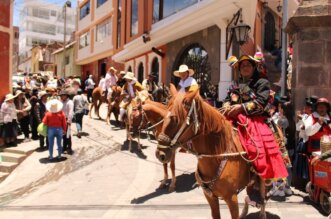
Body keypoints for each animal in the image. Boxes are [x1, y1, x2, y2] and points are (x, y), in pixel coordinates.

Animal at [154, 89, 268, 219]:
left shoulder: (231, 198)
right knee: (249, 194)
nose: (160, 154)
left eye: (176, 119)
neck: (216, 157)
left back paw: (262, 213)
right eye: (163, 117)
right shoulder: (209, 196)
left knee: (263, 196)